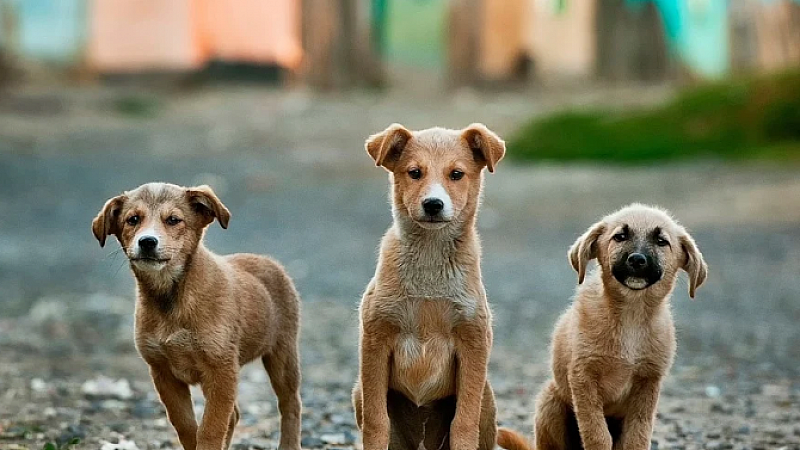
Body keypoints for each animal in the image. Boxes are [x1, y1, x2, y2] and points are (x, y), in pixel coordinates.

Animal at [91, 182, 304, 450]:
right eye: (133, 219)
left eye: (173, 220)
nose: (147, 241)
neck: (172, 298)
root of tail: (268, 261)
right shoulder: (163, 372)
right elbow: (186, 425)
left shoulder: (221, 369)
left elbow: (211, 428)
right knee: (234, 415)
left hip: (282, 354)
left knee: (290, 404)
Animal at [352, 123, 504, 450]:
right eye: (414, 172)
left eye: (456, 174)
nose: (433, 204)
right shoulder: (375, 338)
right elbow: (376, 421)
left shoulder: (474, 340)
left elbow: (464, 422)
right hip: (359, 389)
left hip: (487, 396)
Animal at [496, 204, 708, 450]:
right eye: (620, 236)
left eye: (661, 241)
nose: (637, 260)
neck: (631, 316)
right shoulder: (583, 377)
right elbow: (596, 433)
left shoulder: (648, 382)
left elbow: (637, 436)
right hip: (550, 402)